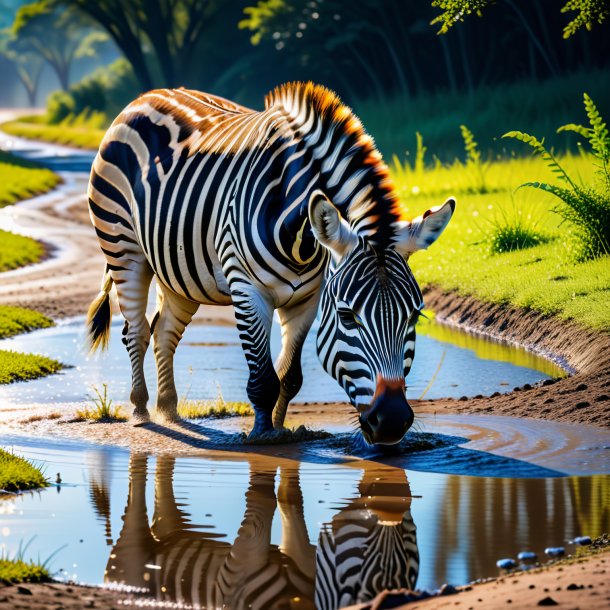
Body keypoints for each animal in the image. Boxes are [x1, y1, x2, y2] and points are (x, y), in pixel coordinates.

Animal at [88, 82, 454, 442]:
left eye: (415, 316)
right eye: (347, 316)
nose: (391, 421)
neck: (302, 239)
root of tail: (146, 96)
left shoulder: (309, 298)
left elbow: (289, 376)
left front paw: (281, 429)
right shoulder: (248, 289)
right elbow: (264, 379)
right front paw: (264, 437)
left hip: (179, 273)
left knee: (163, 331)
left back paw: (168, 409)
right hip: (124, 249)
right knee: (136, 331)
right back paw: (141, 411)